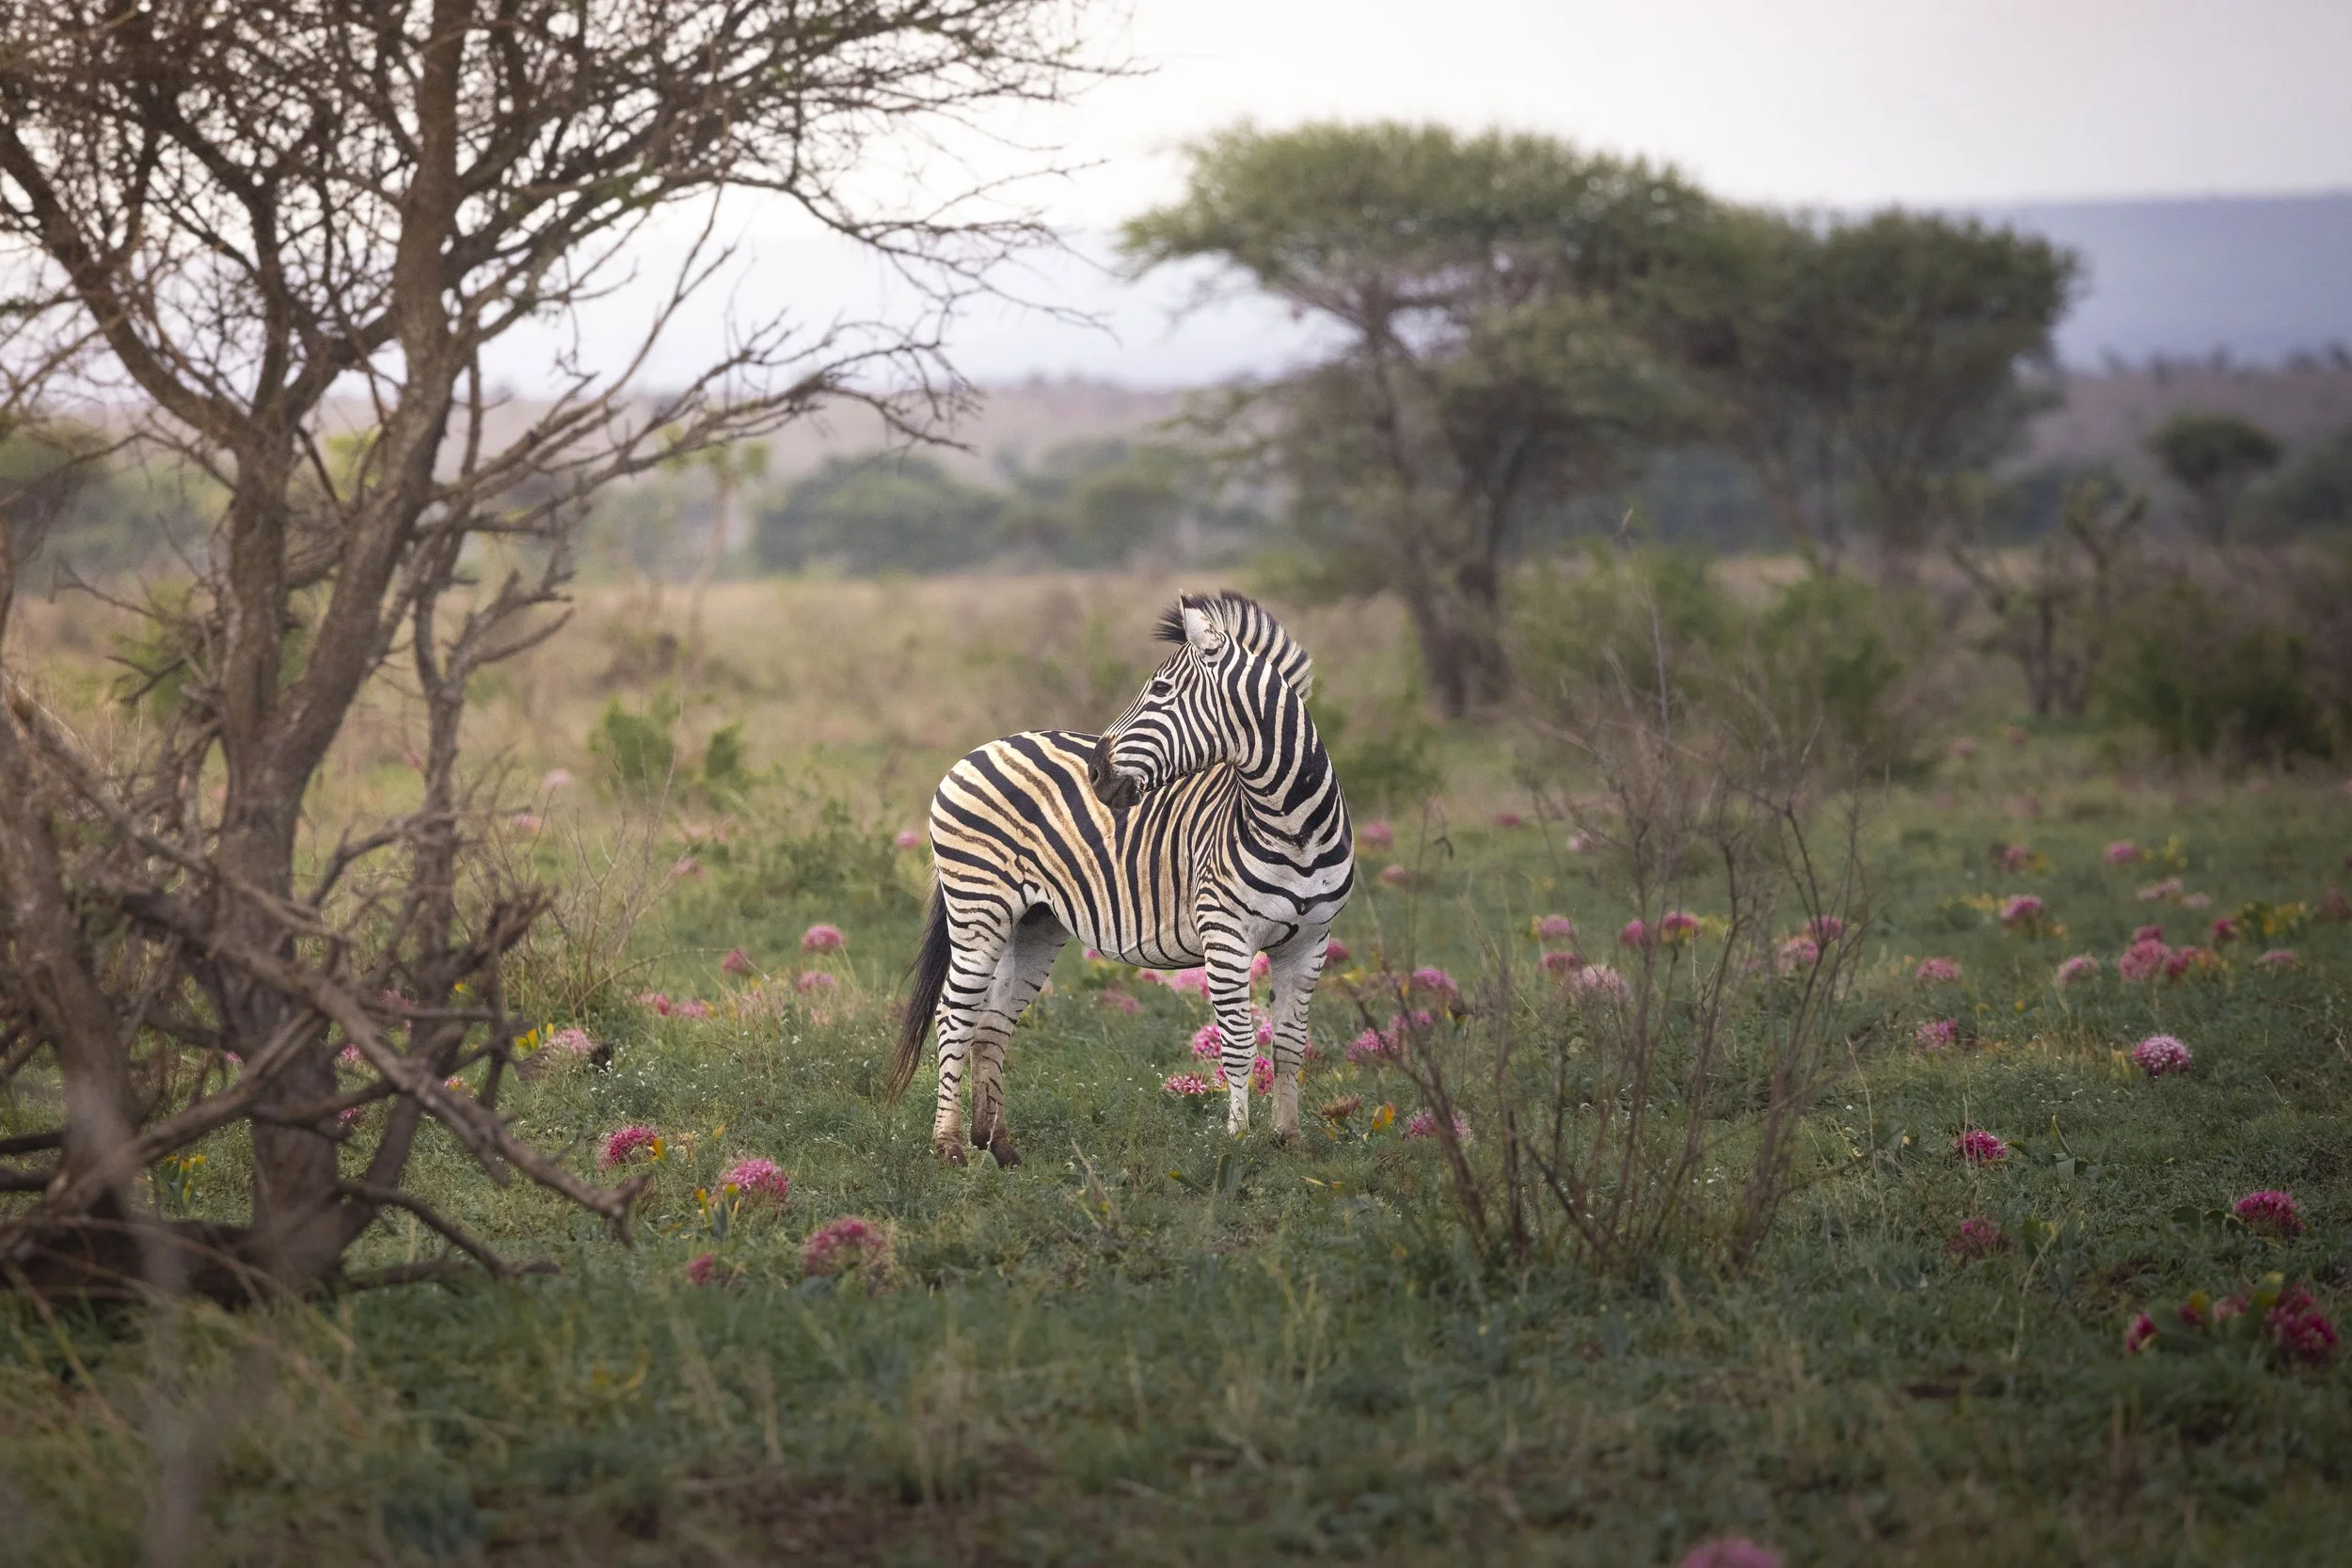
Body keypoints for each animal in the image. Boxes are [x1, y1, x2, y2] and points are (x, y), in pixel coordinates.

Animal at [886, 591, 1354, 1165]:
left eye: (1160, 691)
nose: (1095, 774)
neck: (1294, 825)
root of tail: (979, 750)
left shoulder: (1311, 942)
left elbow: (1290, 1044)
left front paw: (1289, 1140)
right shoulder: (1227, 935)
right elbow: (1240, 1043)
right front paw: (1238, 1144)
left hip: (1034, 923)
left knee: (991, 1025)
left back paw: (999, 1145)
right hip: (979, 909)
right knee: (954, 1015)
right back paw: (949, 1144)